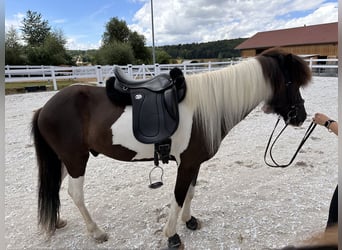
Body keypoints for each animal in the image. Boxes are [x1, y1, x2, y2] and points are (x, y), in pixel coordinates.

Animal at [32, 48, 312, 248]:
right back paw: (97, 232)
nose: (300, 117)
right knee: (75, 194)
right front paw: (172, 235)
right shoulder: (186, 164)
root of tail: (44, 108)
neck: (204, 108)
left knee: (57, 187)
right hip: (76, 159)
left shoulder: (193, 163)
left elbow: (190, 193)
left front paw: (190, 221)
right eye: (291, 83)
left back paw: (58, 221)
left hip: (64, 160)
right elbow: (178, 196)